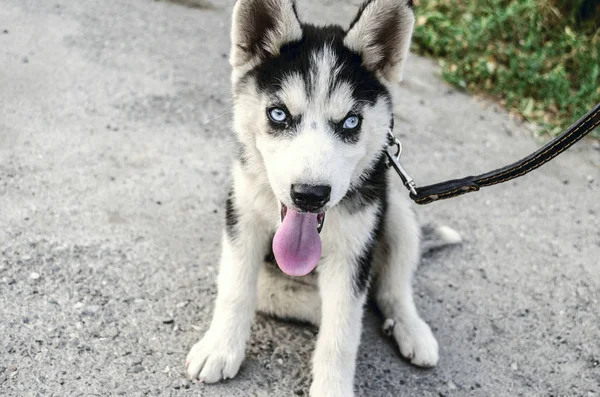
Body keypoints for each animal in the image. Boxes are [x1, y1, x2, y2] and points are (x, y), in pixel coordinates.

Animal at [185, 0, 458, 396]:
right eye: (278, 114)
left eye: (351, 122)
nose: (310, 196)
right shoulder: (242, 217)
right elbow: (236, 288)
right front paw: (220, 348)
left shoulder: (353, 250)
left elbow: (342, 329)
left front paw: (332, 385)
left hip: (396, 213)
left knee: (391, 288)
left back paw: (408, 327)